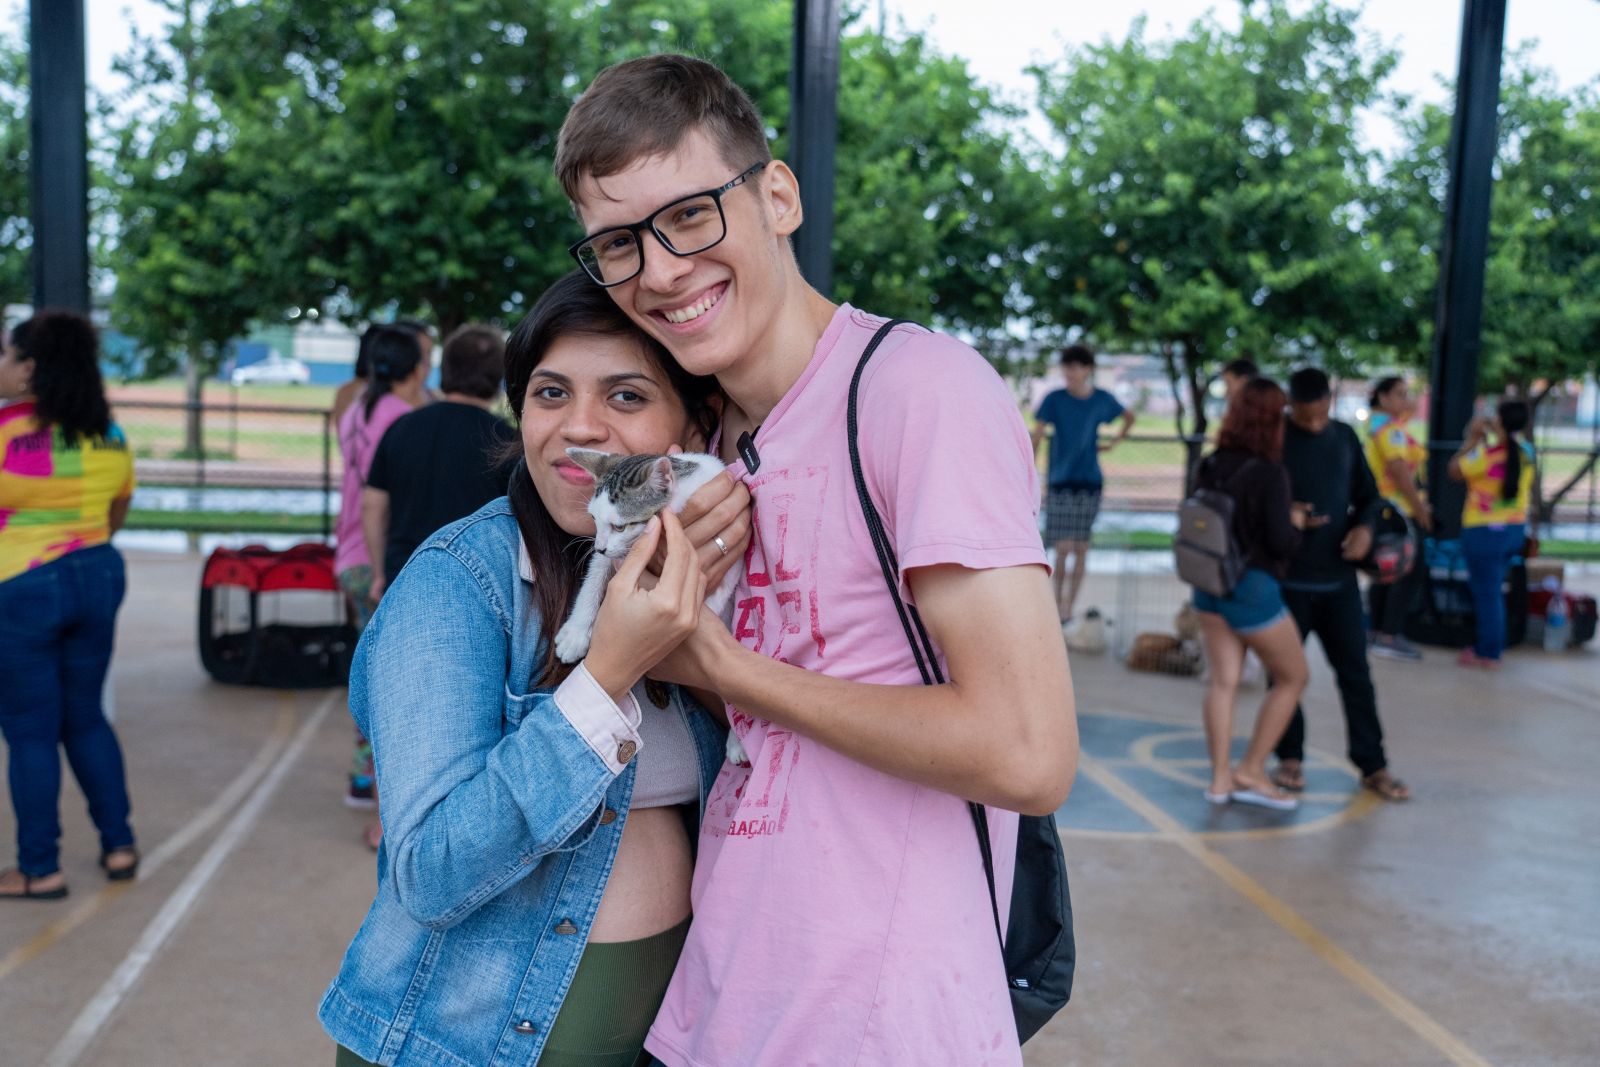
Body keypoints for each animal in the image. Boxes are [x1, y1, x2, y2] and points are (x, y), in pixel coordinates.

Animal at [550, 451, 748, 767]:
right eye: (593, 519)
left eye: (620, 526)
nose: (599, 546)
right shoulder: (613, 554)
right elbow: (595, 576)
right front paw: (577, 632)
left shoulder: (735, 553)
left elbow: (721, 590)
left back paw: (738, 741)